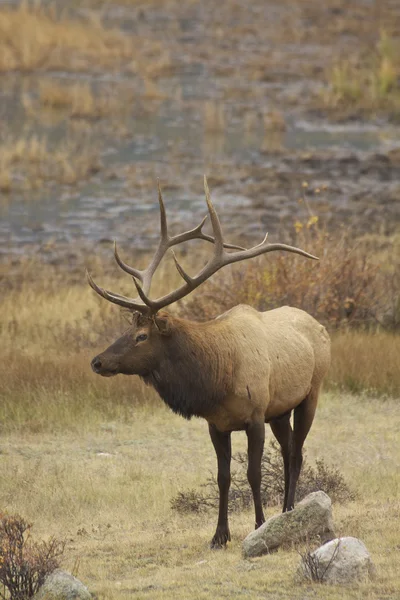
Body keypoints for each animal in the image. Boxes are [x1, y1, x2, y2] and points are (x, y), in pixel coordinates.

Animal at [88, 177, 332, 548]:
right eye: (127, 329)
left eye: (142, 336)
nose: (98, 362)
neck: (218, 378)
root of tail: (321, 327)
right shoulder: (216, 424)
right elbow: (223, 476)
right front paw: (219, 535)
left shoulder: (255, 416)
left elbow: (253, 473)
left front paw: (259, 524)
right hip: (280, 410)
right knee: (290, 449)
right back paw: (287, 510)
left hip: (310, 394)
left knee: (297, 452)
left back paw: (287, 510)